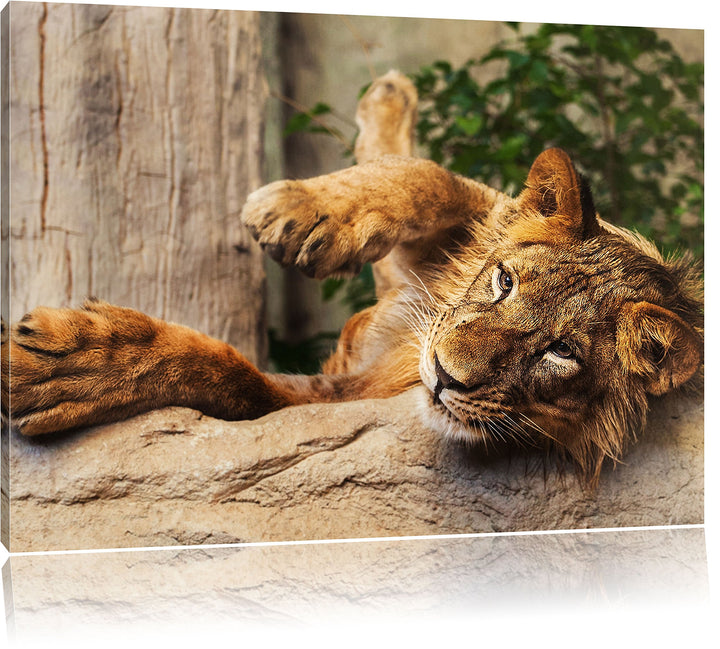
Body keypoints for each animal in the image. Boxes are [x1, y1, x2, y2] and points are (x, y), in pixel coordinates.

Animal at [1, 71, 703, 488]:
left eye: (560, 354)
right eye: (503, 282)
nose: (444, 374)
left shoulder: (333, 399)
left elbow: (234, 378)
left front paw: (68, 365)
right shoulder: (469, 227)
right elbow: (428, 178)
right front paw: (297, 211)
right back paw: (388, 98)